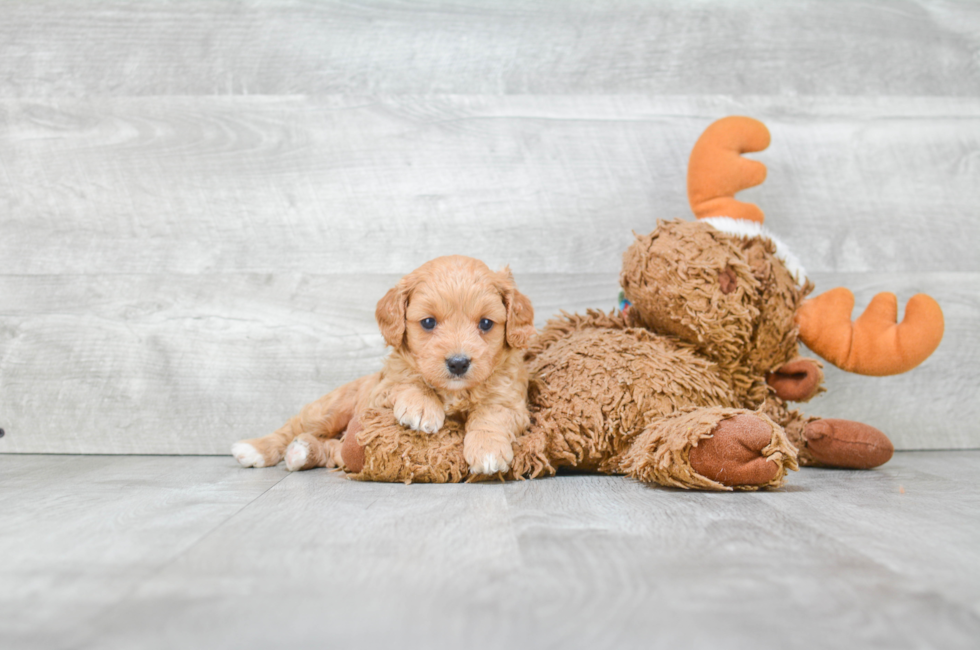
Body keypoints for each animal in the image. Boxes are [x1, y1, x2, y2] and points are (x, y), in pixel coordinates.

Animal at [231, 256, 536, 474]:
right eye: (428, 322)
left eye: (486, 323)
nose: (458, 363)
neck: (454, 391)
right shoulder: (382, 391)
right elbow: (408, 381)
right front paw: (422, 406)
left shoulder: (511, 401)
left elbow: (491, 414)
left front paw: (487, 449)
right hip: (331, 408)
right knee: (293, 426)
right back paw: (256, 448)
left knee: (334, 450)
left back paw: (302, 452)